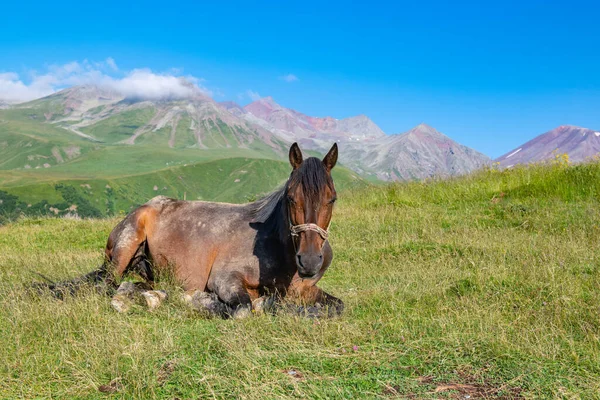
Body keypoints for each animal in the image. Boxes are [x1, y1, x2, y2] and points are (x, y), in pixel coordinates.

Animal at [45, 142, 344, 318]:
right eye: (291, 198)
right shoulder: (225, 279)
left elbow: (338, 306)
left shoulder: (303, 291)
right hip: (126, 246)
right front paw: (204, 301)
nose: (309, 261)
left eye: (332, 199)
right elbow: (244, 308)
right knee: (108, 286)